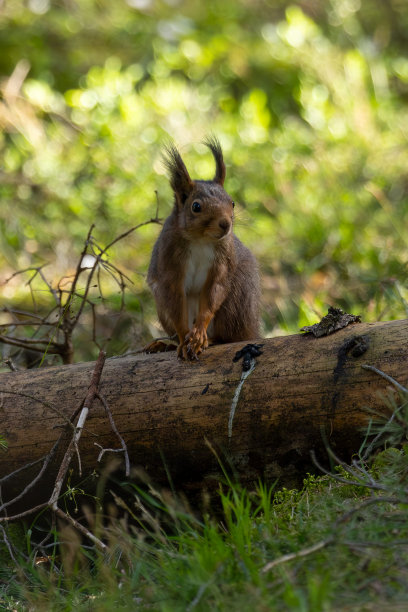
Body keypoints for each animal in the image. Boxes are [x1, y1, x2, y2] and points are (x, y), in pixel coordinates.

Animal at [147, 136, 260, 360]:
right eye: (196, 206)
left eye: (232, 203)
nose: (225, 224)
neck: (201, 240)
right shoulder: (169, 264)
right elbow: (176, 304)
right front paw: (185, 339)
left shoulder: (222, 262)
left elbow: (213, 293)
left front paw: (198, 335)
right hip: (161, 307)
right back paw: (165, 344)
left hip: (235, 303)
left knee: (229, 337)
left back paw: (210, 339)